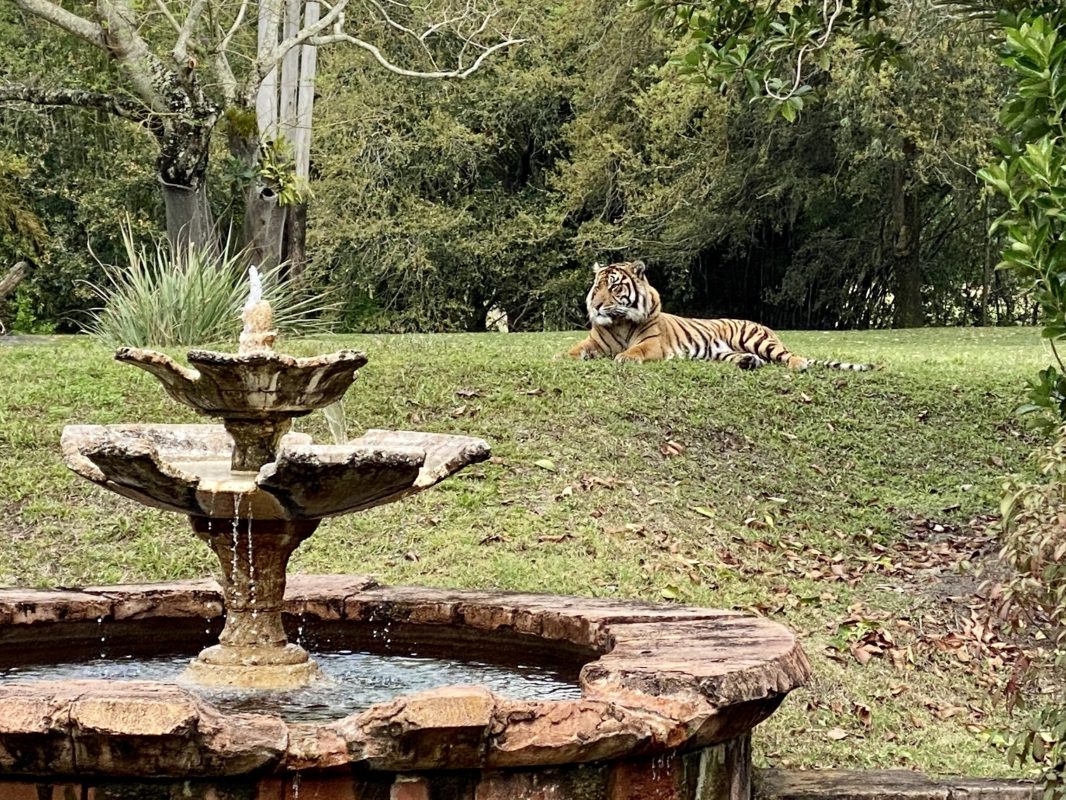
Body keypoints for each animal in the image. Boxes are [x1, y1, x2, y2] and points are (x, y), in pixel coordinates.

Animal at [567, 260, 876, 371]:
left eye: (615, 286)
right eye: (597, 287)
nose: (596, 305)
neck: (618, 322)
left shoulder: (653, 343)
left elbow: (636, 350)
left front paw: (625, 357)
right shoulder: (594, 342)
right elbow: (572, 351)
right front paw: (563, 358)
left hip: (757, 339)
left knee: (785, 355)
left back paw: (798, 364)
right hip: (723, 351)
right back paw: (749, 363)